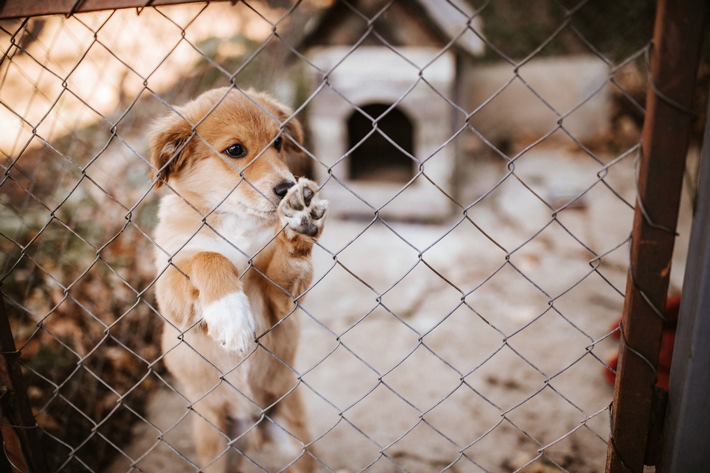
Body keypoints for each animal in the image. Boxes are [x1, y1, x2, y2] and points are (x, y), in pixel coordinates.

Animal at [152, 86, 328, 470]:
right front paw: (231, 316)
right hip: (213, 440)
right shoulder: (171, 295)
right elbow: (210, 256)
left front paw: (299, 219)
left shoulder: (281, 301)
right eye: (235, 150)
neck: (234, 220)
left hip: (297, 436)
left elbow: (284, 262)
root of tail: (254, 425)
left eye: (278, 142)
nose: (287, 187)